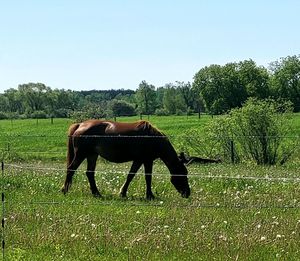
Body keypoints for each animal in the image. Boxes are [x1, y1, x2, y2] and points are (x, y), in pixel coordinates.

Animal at [62, 120, 191, 199]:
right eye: (183, 173)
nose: (187, 193)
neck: (152, 138)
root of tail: (80, 125)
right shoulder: (146, 160)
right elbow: (147, 177)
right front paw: (150, 196)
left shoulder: (139, 160)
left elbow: (131, 175)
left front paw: (123, 193)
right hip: (81, 154)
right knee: (71, 169)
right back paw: (65, 190)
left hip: (92, 155)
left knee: (89, 173)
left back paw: (96, 193)